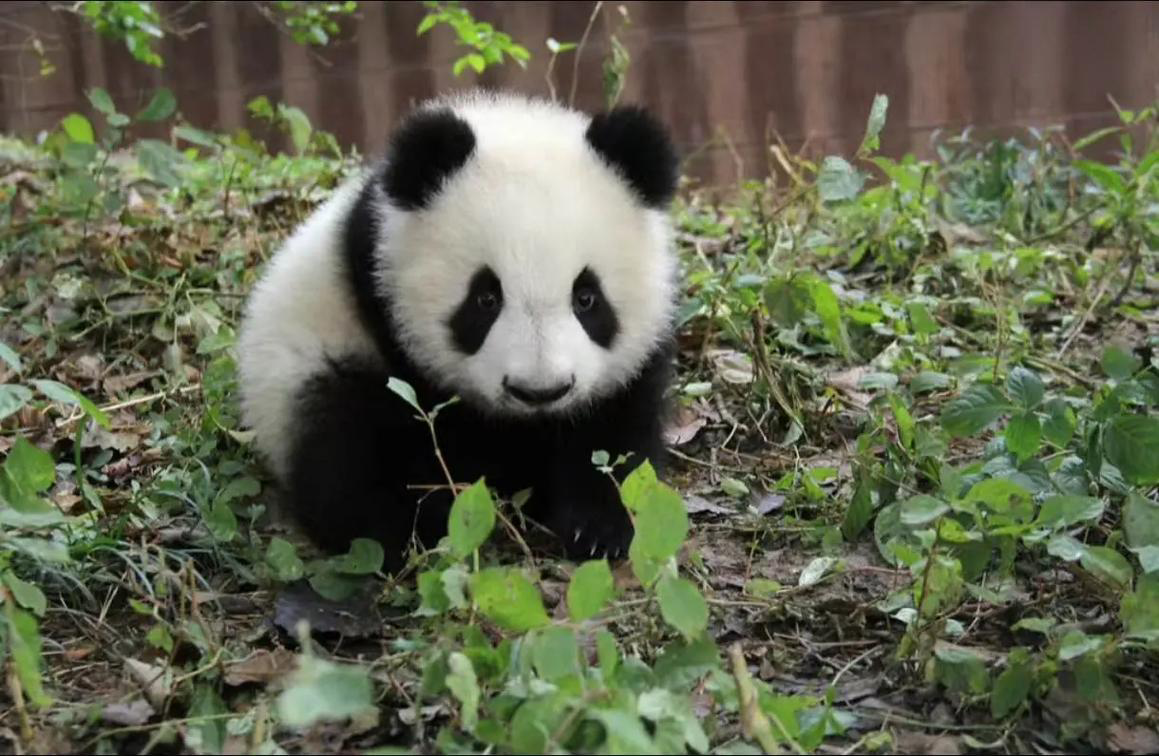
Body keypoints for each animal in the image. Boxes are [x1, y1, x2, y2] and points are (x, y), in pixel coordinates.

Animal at [236, 91, 679, 573]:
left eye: (586, 298)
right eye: (485, 298)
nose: (539, 391)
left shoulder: (630, 367)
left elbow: (615, 434)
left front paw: (599, 528)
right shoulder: (379, 300)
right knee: (343, 445)